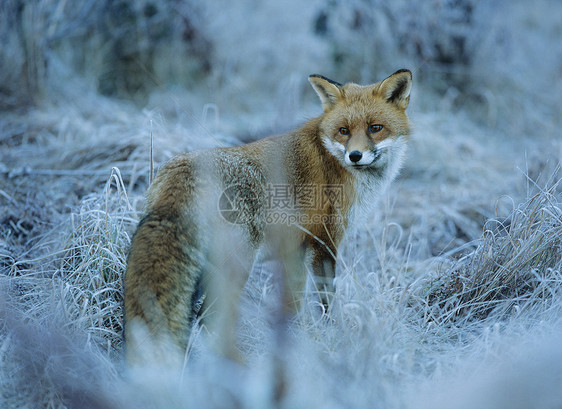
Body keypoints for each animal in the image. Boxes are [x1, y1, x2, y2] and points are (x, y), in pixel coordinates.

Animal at [122, 68, 412, 364]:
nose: (355, 155)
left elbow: (293, 303)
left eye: (375, 128)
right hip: (237, 264)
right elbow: (325, 302)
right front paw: (332, 338)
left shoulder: (296, 249)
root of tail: (181, 170)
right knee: (209, 318)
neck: (332, 160)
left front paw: (292, 344)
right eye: (344, 131)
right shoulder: (325, 242)